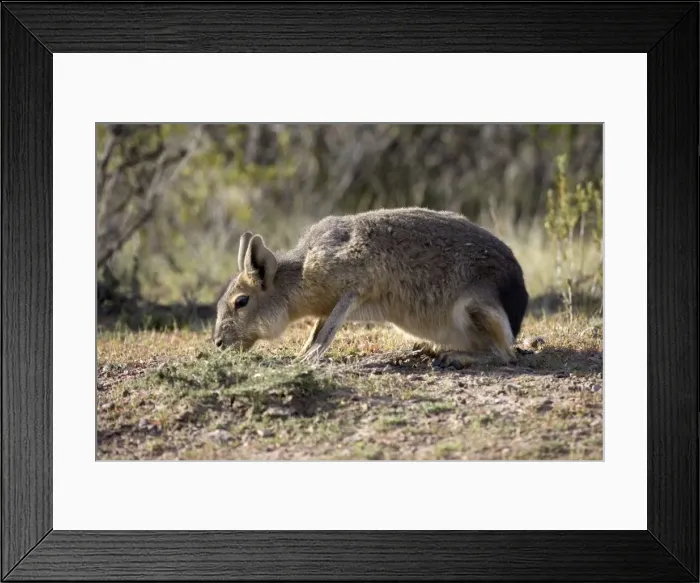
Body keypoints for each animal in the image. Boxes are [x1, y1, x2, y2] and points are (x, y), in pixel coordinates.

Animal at [213, 207, 529, 369]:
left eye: (241, 302)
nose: (218, 343)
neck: (300, 274)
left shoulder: (353, 290)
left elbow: (326, 333)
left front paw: (307, 359)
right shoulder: (327, 306)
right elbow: (316, 330)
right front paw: (301, 355)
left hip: (474, 307)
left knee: (505, 353)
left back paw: (453, 356)